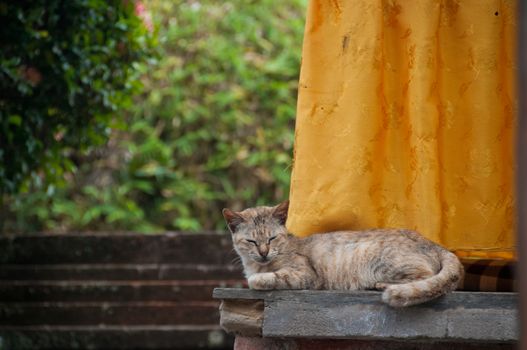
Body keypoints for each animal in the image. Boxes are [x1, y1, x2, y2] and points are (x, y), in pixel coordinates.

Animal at [223, 201, 466, 308]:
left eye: (272, 238)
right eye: (252, 241)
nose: (264, 253)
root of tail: (435, 244)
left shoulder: (305, 275)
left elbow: (265, 278)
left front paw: (257, 279)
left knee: (426, 277)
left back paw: (380, 285)